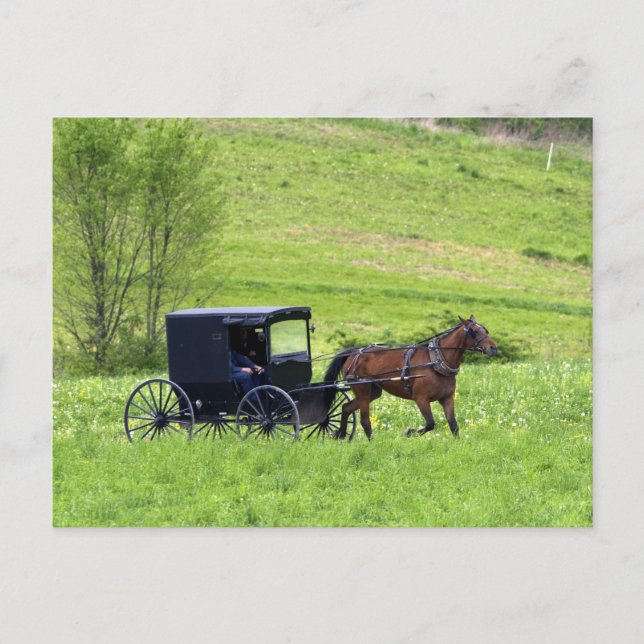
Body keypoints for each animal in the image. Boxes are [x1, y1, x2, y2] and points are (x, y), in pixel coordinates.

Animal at [322, 315, 498, 440]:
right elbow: (430, 424)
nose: (493, 348)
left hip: (373, 391)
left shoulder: (447, 398)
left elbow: (453, 425)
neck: (435, 361)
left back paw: (340, 434)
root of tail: (354, 352)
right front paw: (408, 432)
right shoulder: (421, 398)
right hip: (362, 389)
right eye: (474, 331)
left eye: (486, 330)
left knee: (346, 408)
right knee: (365, 421)